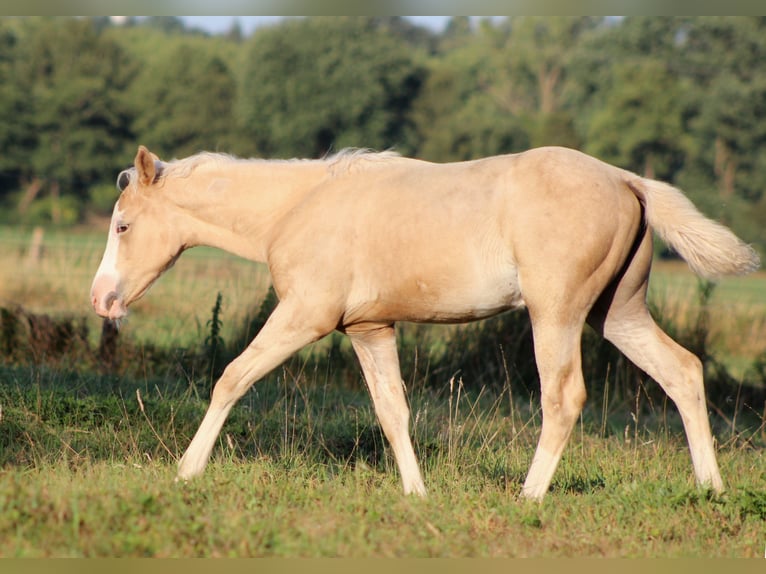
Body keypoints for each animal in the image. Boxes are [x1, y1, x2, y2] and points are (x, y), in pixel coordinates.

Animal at [90, 144, 759, 500]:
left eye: (122, 225)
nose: (102, 300)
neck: (298, 207)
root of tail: (626, 179)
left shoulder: (304, 316)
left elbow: (231, 378)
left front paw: (186, 471)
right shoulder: (369, 329)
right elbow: (392, 411)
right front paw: (417, 494)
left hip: (558, 315)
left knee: (564, 397)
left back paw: (528, 497)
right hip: (616, 313)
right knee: (683, 372)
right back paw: (712, 489)